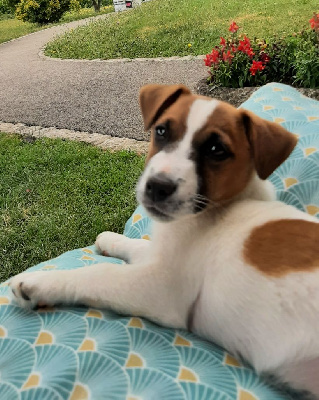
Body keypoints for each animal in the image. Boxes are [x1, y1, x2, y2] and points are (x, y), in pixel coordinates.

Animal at [9, 83, 319, 396]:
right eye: (161, 131)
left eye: (216, 150)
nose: (157, 187)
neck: (219, 208)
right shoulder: (163, 257)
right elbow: (140, 245)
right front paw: (110, 239)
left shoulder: (160, 288)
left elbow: (99, 273)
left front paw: (39, 282)